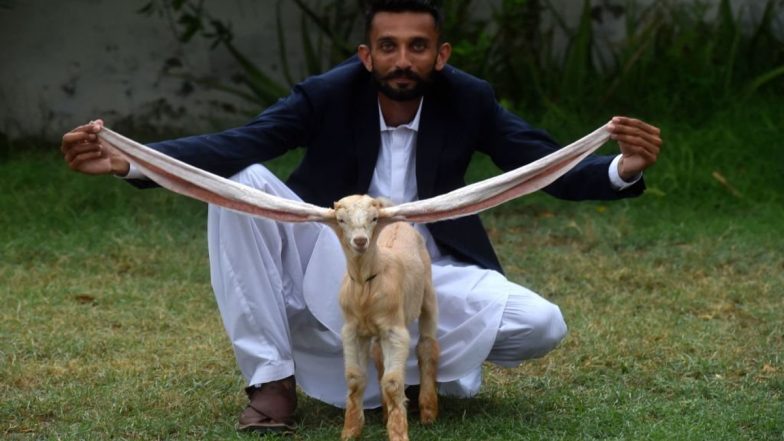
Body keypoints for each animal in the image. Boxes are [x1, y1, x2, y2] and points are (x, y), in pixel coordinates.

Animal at [330, 195, 439, 441]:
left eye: (373, 218)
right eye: (341, 220)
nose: (360, 241)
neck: (365, 285)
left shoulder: (394, 332)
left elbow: (392, 382)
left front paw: (398, 433)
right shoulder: (352, 330)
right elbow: (354, 378)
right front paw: (350, 431)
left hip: (427, 291)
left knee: (427, 346)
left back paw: (428, 412)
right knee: (378, 355)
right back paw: (385, 414)